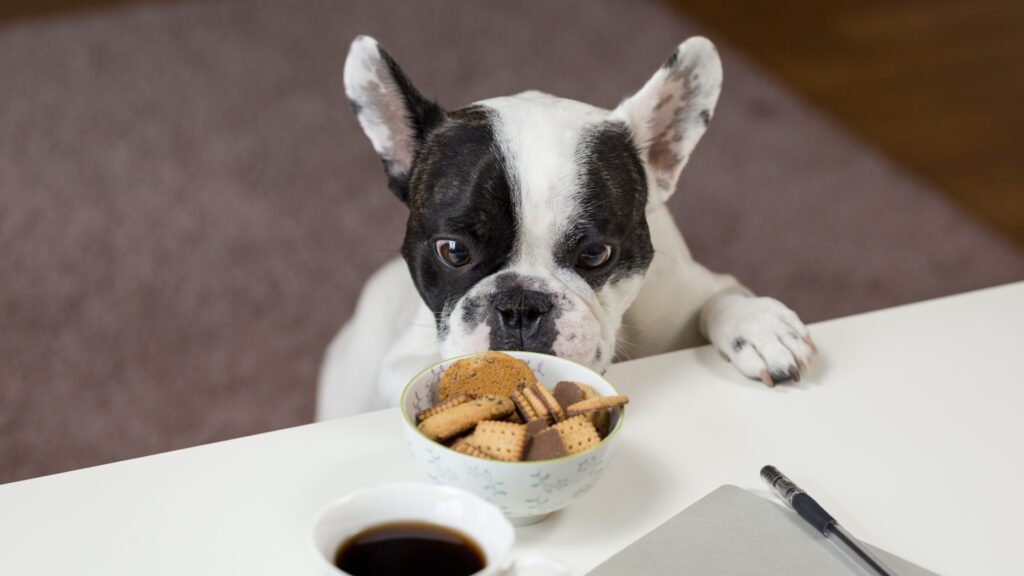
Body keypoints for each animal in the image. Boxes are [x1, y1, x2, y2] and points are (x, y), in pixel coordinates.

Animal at [315, 35, 811, 420]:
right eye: (453, 251)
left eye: (595, 254)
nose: (519, 305)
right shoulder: (401, 359)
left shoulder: (686, 292)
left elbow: (721, 296)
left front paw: (760, 326)